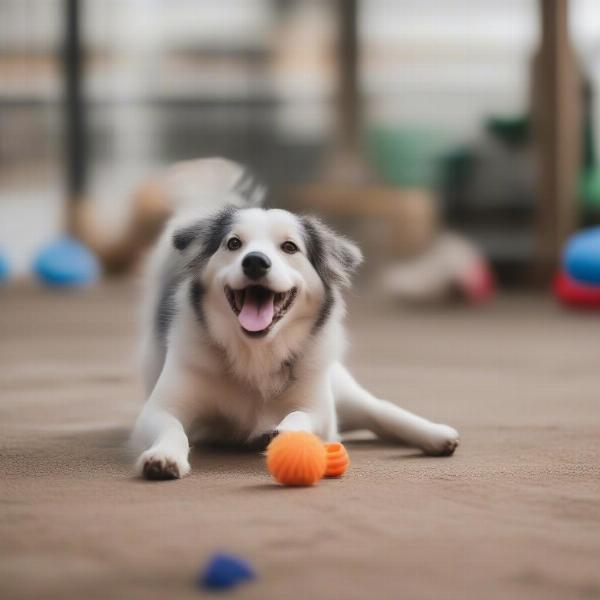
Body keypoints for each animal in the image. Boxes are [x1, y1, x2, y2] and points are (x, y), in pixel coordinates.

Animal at [131, 158, 460, 478]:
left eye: (289, 247)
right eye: (234, 244)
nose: (255, 262)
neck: (255, 353)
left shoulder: (320, 410)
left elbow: (302, 415)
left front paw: (284, 433)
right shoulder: (160, 408)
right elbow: (172, 427)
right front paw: (164, 456)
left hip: (341, 388)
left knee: (378, 409)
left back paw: (437, 435)